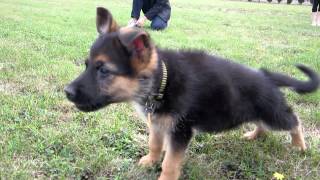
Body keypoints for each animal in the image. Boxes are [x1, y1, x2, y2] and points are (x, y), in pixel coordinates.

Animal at [63, 7, 318, 180]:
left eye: (104, 70)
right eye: (87, 65)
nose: (67, 92)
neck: (161, 82)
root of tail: (266, 75)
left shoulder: (180, 131)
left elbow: (170, 162)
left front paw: (164, 176)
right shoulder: (158, 124)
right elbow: (155, 144)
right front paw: (149, 161)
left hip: (273, 113)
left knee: (294, 121)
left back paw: (299, 146)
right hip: (257, 112)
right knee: (263, 125)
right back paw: (254, 135)